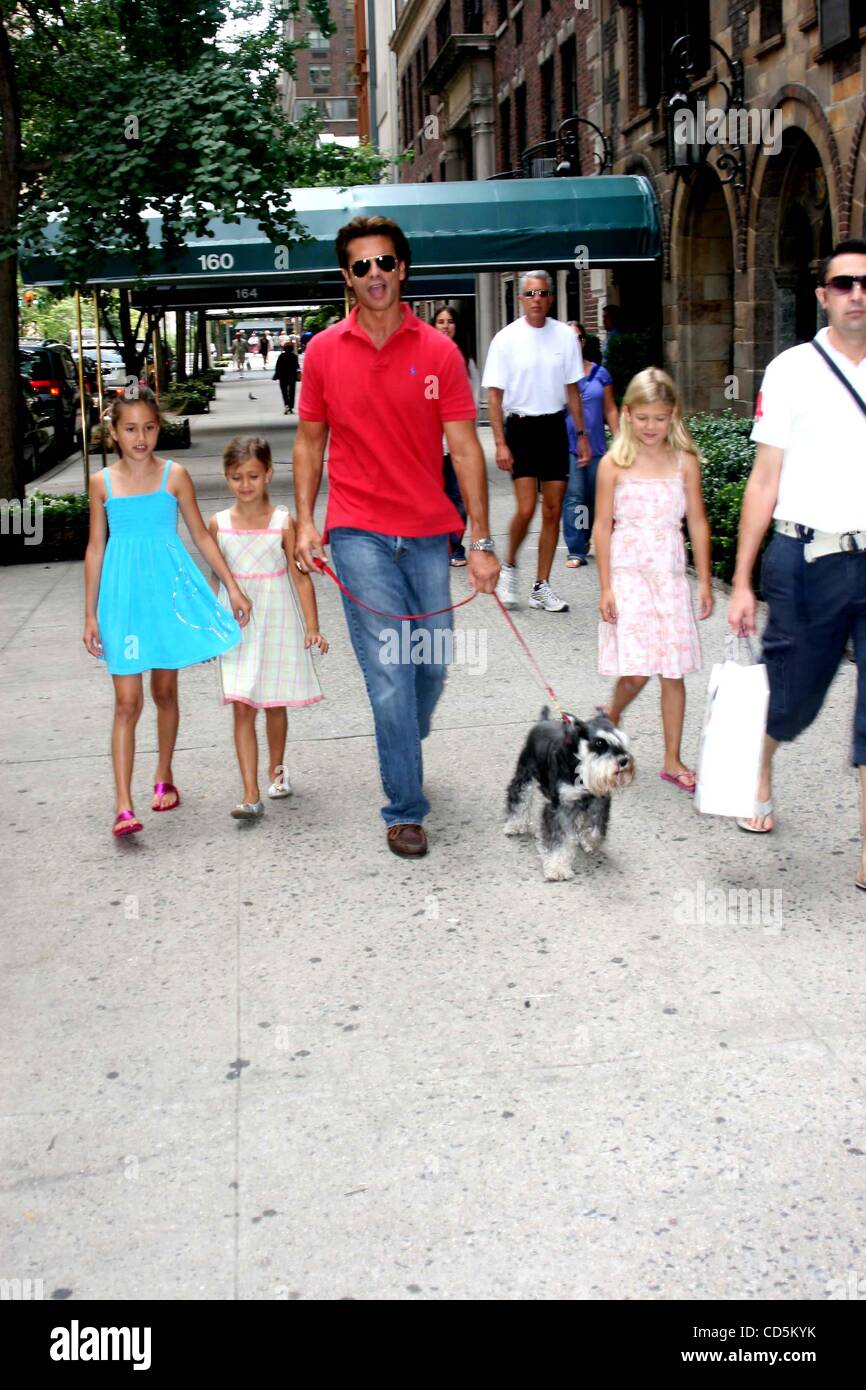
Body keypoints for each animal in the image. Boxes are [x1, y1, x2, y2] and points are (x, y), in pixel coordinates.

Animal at [500, 706, 636, 878]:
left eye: (622, 740)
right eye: (599, 742)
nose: (624, 761)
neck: (580, 769)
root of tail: (542, 721)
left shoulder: (599, 802)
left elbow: (597, 831)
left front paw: (587, 840)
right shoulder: (560, 807)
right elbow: (557, 839)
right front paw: (557, 868)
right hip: (525, 774)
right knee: (518, 797)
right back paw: (515, 825)